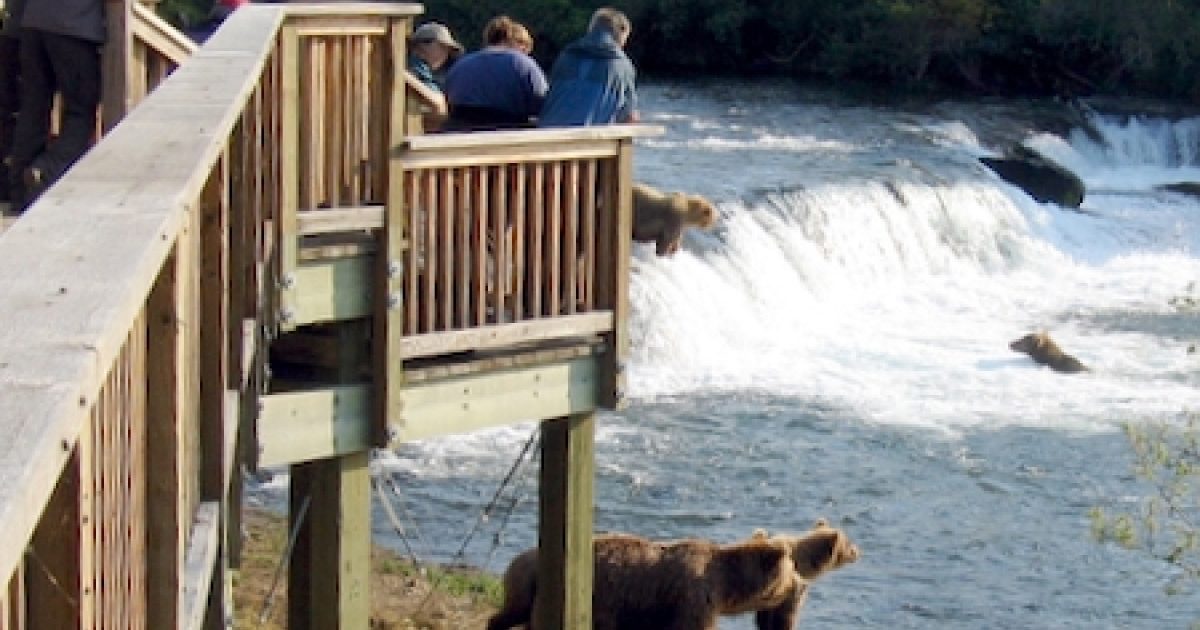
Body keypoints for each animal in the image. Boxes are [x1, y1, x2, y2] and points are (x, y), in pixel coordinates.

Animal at [487, 532, 795, 630]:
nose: (796, 584)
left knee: (514, 613)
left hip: (529, 590)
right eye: (792, 571)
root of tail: (524, 557)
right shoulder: (694, 597)